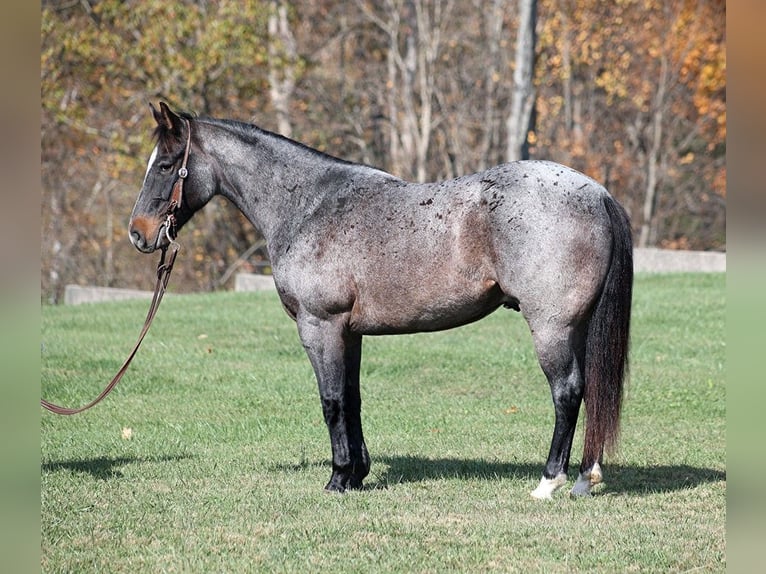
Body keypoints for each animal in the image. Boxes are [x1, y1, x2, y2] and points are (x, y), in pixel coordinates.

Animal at [130, 103, 636, 500]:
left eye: (166, 164)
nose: (137, 234)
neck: (308, 205)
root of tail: (597, 193)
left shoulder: (320, 326)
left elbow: (331, 400)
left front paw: (337, 480)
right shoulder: (348, 333)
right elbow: (352, 398)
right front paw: (357, 474)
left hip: (551, 327)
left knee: (567, 392)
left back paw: (549, 482)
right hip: (577, 327)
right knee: (589, 390)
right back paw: (585, 478)